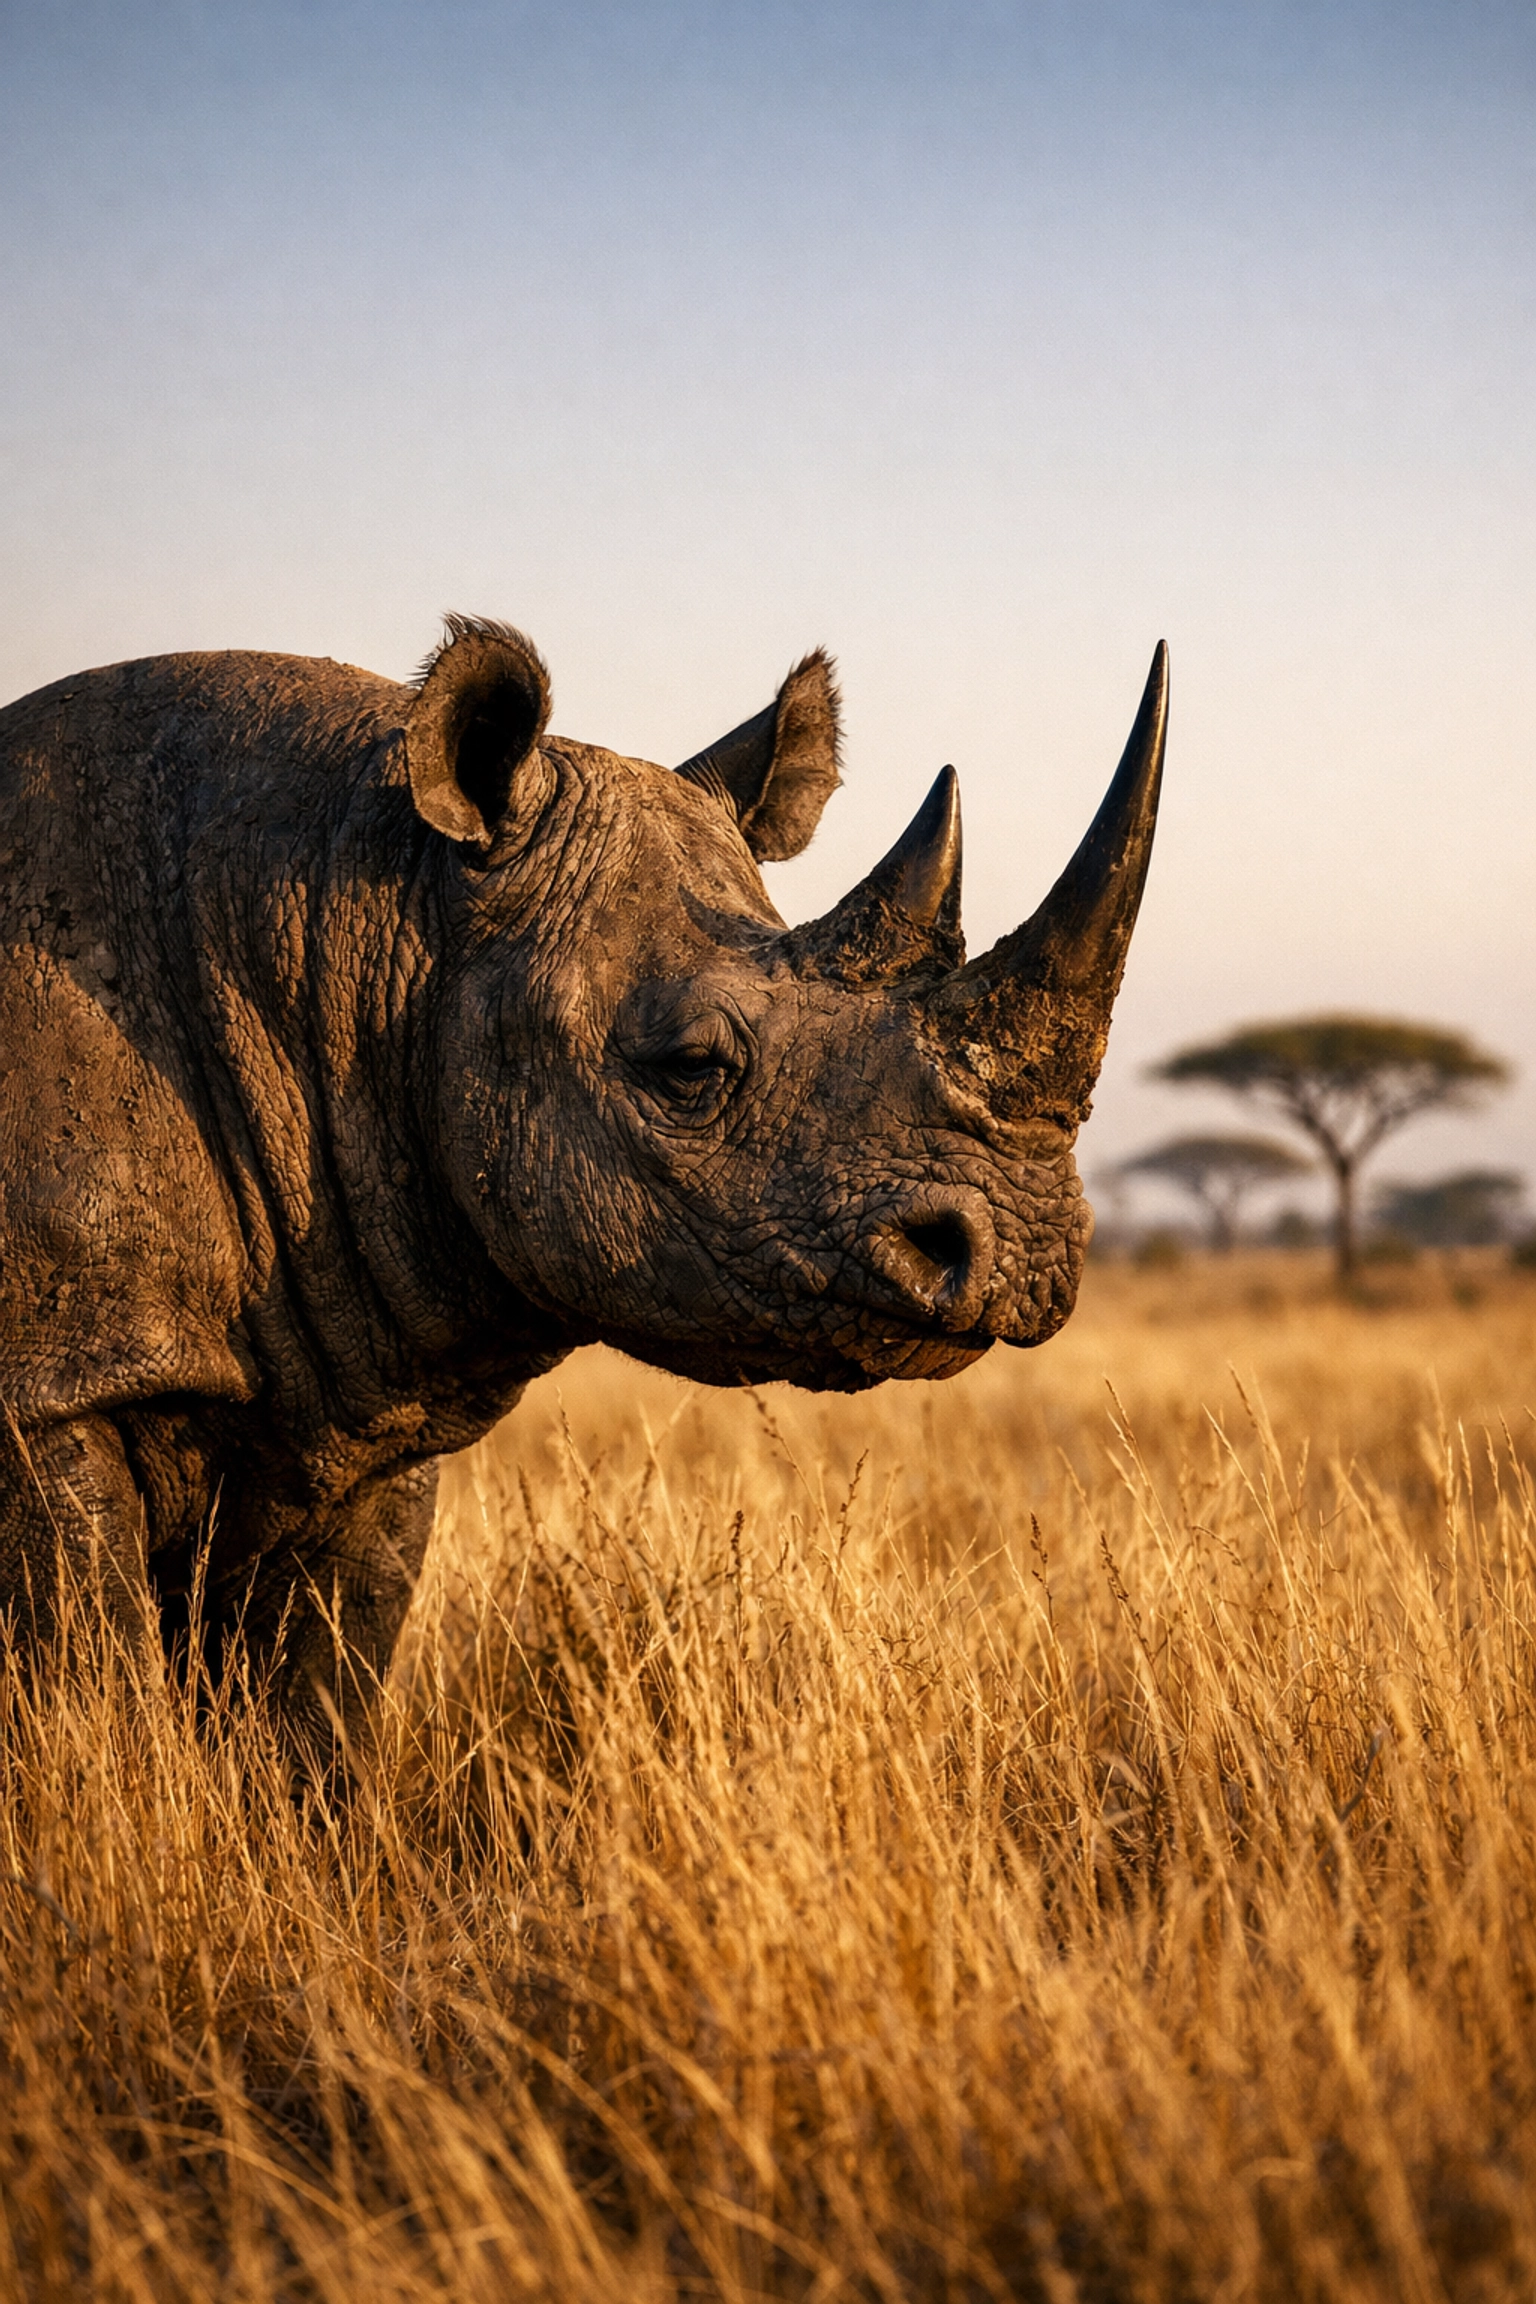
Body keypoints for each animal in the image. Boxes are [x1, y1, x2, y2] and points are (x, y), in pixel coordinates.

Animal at [0, 618, 1165, 1747]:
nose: (1026, 1254)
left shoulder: (363, 1386)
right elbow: (85, 1693)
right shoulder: (45, 1388)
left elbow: (311, 1715)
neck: (363, 917)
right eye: (690, 1069)